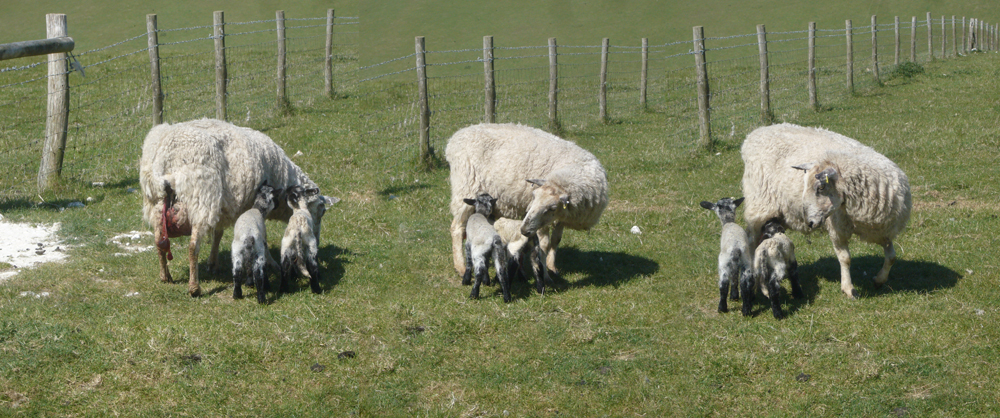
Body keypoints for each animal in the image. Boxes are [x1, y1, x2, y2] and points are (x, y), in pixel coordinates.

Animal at [140, 118, 325, 297]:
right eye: (321, 211)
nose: (317, 239)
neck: (282, 173)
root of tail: (164, 153)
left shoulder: (222, 207)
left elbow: (218, 234)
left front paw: (213, 263)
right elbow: (261, 241)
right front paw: (272, 263)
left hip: (157, 204)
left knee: (160, 241)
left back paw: (165, 276)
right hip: (202, 199)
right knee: (193, 247)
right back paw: (194, 288)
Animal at [446, 123, 608, 278]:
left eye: (552, 208)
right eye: (534, 196)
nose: (523, 230)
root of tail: (455, 138)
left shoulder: (561, 215)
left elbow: (556, 240)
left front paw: (552, 266)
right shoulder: (540, 221)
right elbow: (544, 244)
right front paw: (545, 272)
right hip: (465, 188)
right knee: (457, 228)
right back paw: (460, 267)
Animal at [741, 123, 911, 298]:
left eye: (821, 187)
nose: (809, 222)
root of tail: (756, 132)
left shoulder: (881, 231)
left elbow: (892, 257)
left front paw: (879, 280)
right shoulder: (838, 228)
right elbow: (845, 259)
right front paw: (848, 288)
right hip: (759, 205)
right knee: (751, 242)